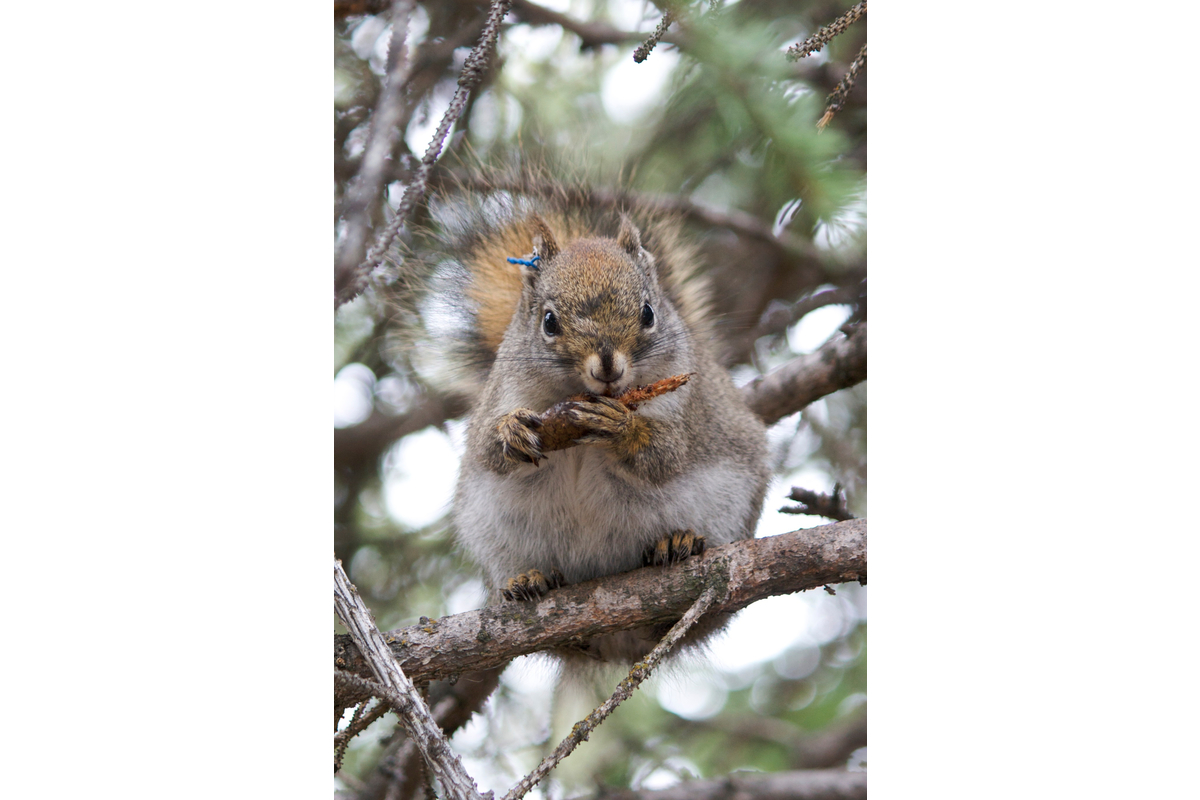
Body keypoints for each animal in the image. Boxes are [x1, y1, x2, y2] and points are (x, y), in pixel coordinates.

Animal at [416, 178, 770, 664]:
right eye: (548, 321)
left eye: (648, 313)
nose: (607, 366)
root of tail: (616, 643)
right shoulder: (501, 393)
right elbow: (487, 450)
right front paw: (510, 432)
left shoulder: (686, 406)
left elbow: (667, 455)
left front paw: (623, 429)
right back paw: (529, 580)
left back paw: (677, 544)